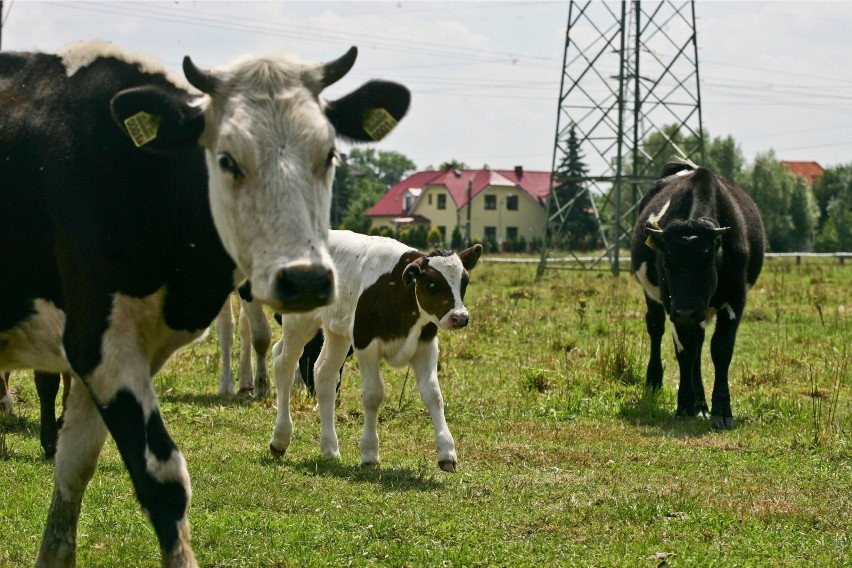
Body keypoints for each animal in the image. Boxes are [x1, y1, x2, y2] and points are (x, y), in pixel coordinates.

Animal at [0, 42, 412, 564]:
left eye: (329, 154)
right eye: (227, 159)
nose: (305, 280)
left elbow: (72, 474)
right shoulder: (97, 343)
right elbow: (163, 479)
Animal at [272, 229, 486, 472]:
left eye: (464, 281)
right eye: (431, 283)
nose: (459, 317)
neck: (398, 293)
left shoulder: (426, 344)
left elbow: (433, 394)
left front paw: (447, 452)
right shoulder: (365, 342)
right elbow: (373, 394)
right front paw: (370, 452)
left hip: (338, 332)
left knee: (324, 375)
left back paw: (330, 448)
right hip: (298, 320)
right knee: (283, 365)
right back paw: (280, 438)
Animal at [632, 159, 764, 426]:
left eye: (707, 263)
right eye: (668, 264)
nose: (686, 312)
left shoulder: (736, 299)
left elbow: (720, 349)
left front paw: (721, 410)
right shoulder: (672, 303)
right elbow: (686, 351)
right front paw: (684, 404)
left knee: (701, 343)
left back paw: (701, 404)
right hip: (656, 299)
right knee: (656, 328)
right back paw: (657, 382)